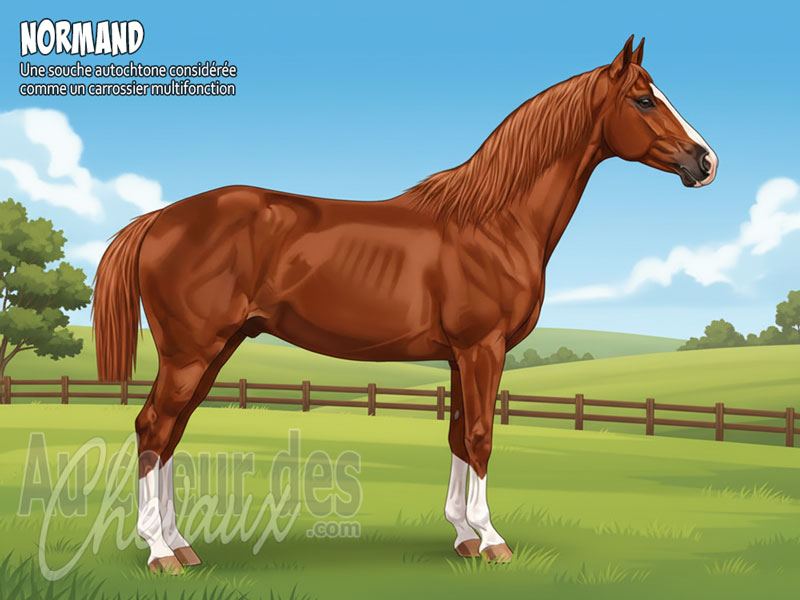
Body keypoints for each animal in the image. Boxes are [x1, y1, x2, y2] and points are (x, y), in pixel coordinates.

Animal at [93, 36, 717, 573]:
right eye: (643, 99)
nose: (705, 162)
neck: (493, 221)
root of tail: (161, 218)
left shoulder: (461, 356)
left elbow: (458, 435)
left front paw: (463, 536)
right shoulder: (483, 348)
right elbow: (481, 436)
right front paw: (492, 540)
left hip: (213, 350)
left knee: (171, 433)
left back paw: (181, 544)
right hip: (191, 352)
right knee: (153, 429)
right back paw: (160, 552)